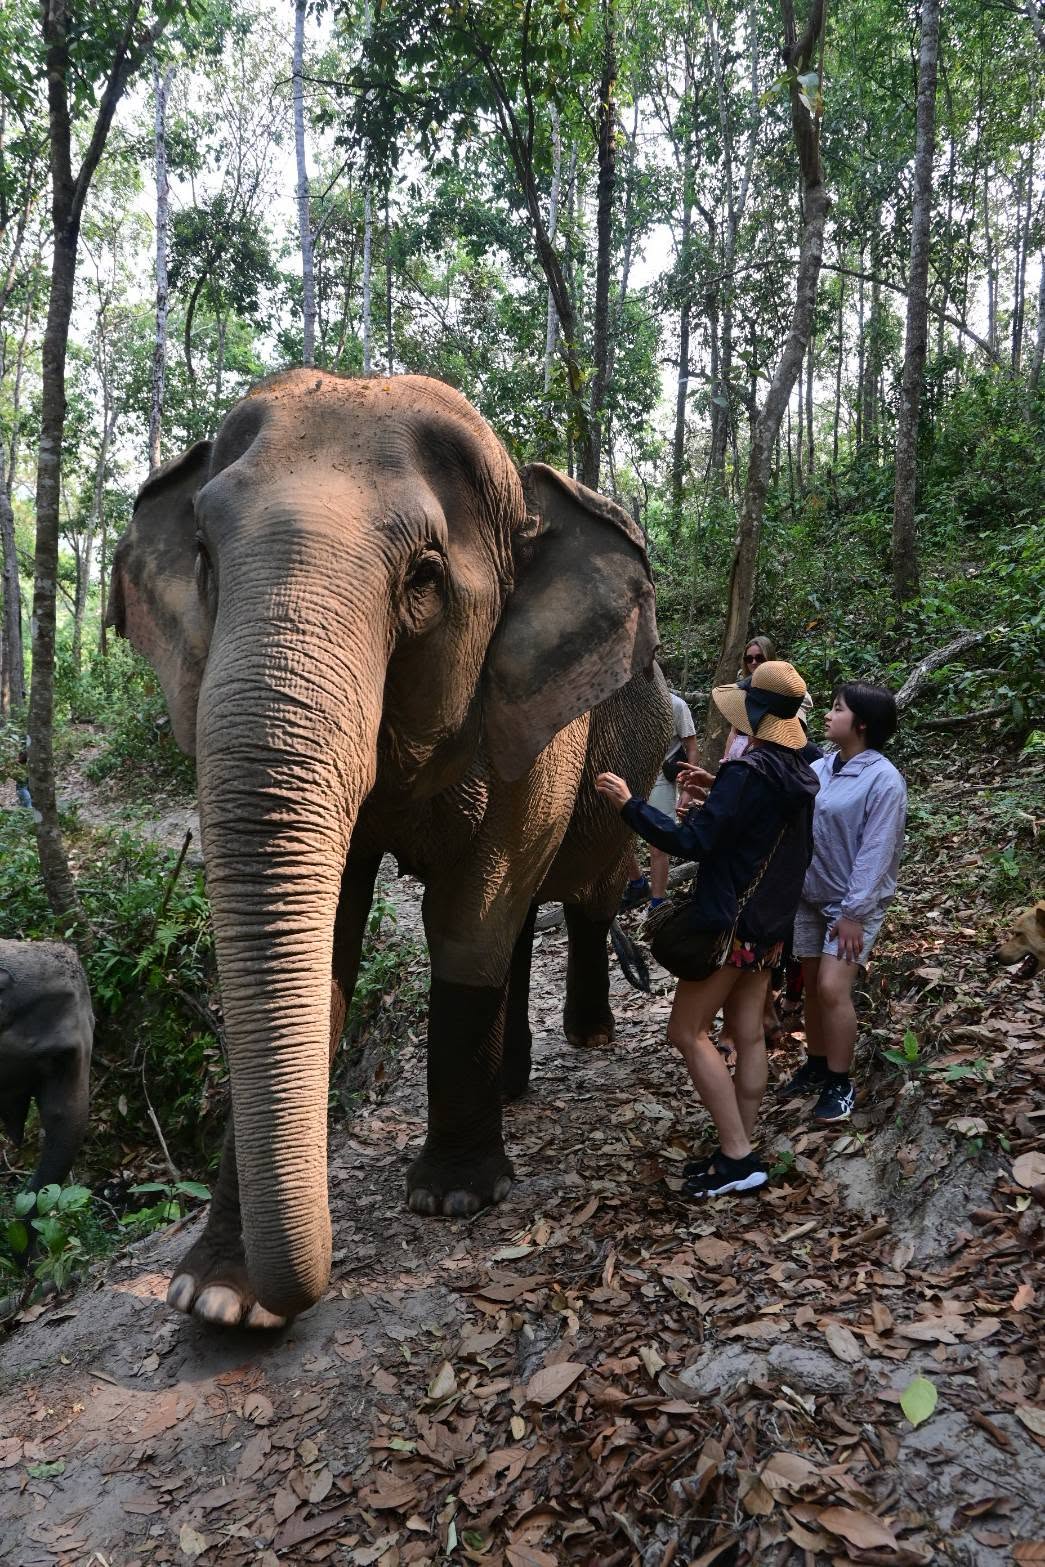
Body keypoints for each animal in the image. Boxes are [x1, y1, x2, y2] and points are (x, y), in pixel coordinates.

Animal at [109, 369, 672, 1329]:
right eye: (205, 556)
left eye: (424, 577)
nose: (292, 1295)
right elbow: (331, 934)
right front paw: (217, 1298)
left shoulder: (538, 714)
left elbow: (470, 909)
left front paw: (454, 1196)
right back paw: (511, 1082)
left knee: (571, 900)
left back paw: (588, 1038)